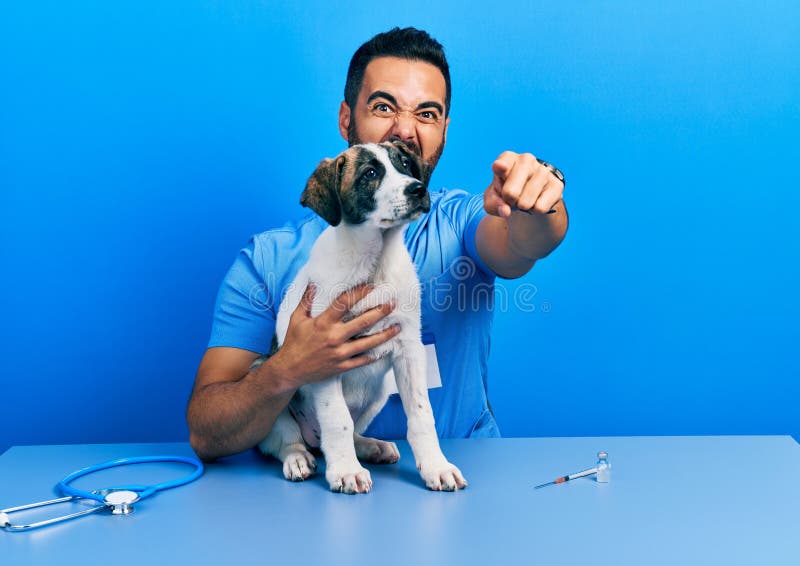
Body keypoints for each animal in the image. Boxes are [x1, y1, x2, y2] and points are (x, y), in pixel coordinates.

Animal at [256, 143, 468, 496]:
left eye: (406, 164)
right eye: (370, 174)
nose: (418, 189)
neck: (375, 262)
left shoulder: (409, 348)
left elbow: (421, 414)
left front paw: (436, 467)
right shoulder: (323, 354)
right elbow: (337, 419)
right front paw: (346, 471)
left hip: (380, 391)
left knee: (351, 431)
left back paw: (371, 446)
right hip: (265, 374)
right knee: (287, 442)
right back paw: (299, 459)